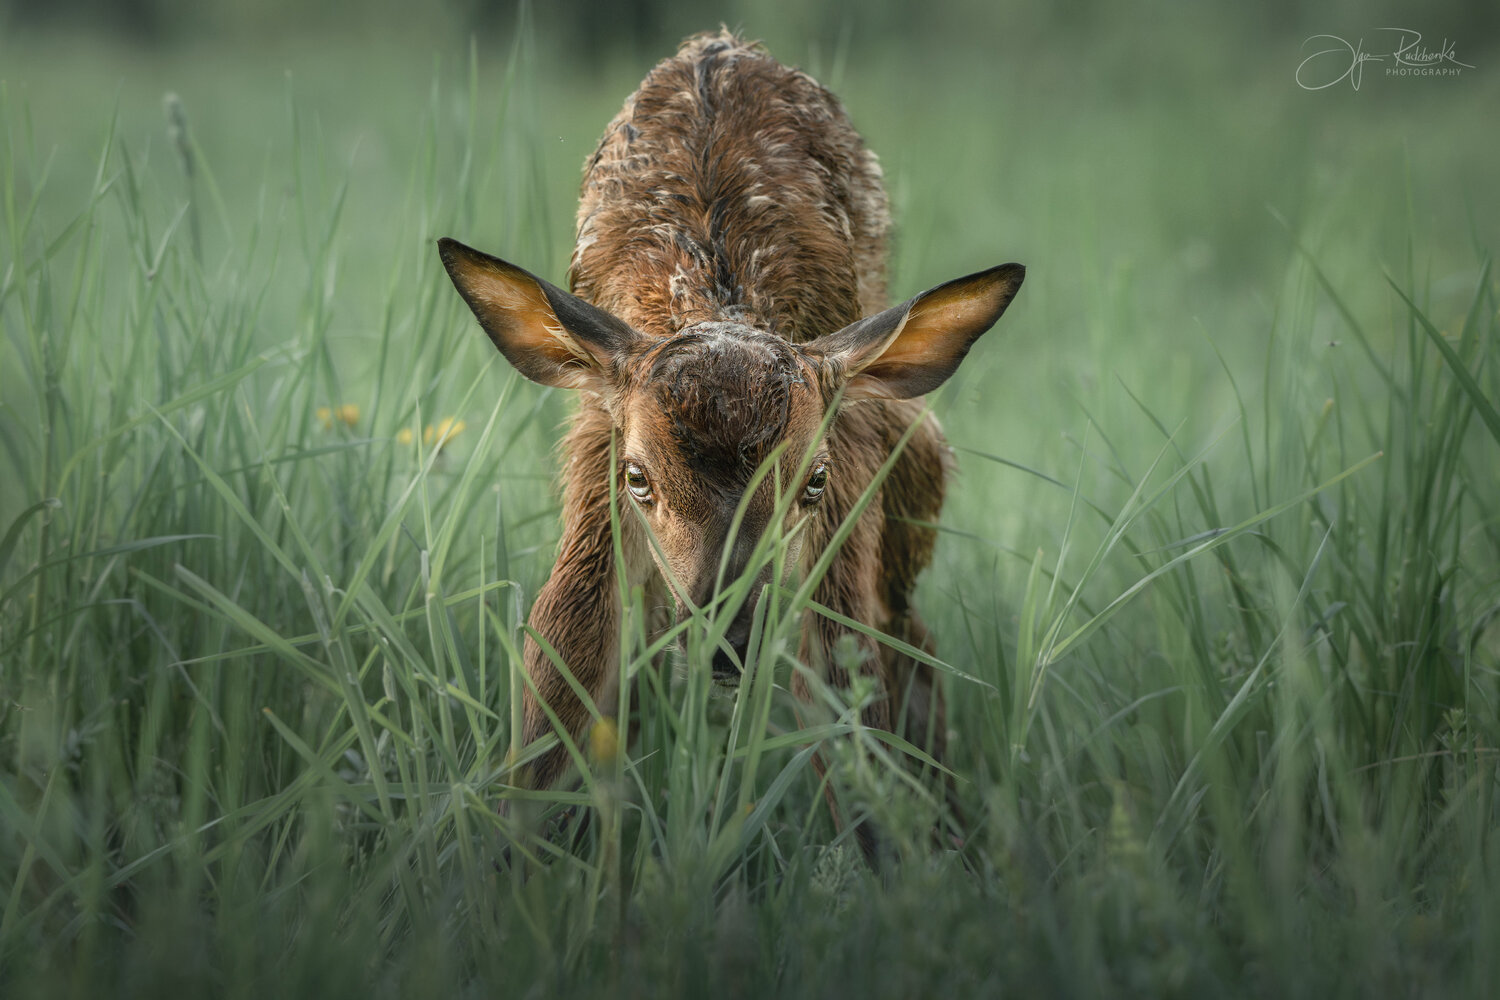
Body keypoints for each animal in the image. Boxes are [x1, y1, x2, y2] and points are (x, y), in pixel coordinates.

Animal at [437, 30, 1023, 862]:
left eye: (812, 481)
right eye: (638, 478)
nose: (726, 644)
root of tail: (719, 39)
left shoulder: (845, 496)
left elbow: (847, 693)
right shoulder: (595, 459)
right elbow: (562, 672)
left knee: (910, 643)